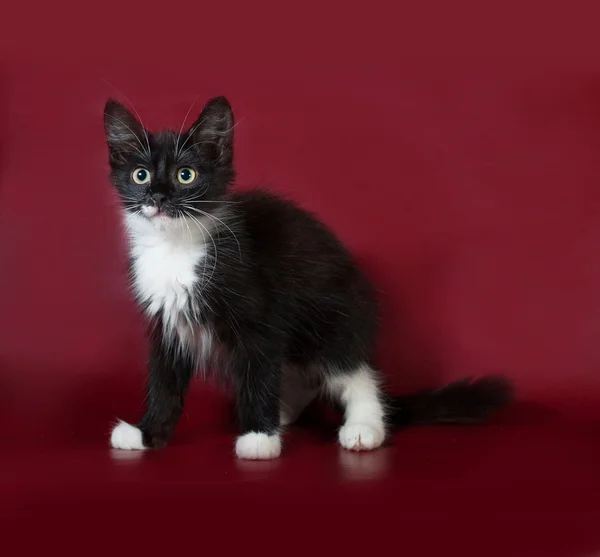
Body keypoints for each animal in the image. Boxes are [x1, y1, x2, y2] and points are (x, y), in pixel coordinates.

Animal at [102, 96, 510, 460]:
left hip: (330, 316)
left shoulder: (259, 314)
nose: (157, 196)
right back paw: (282, 411)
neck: (176, 248)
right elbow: (164, 382)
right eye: (140, 175)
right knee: (300, 375)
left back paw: (364, 427)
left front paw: (259, 438)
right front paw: (146, 433)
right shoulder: (167, 321)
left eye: (185, 175)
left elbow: (259, 369)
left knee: (352, 371)